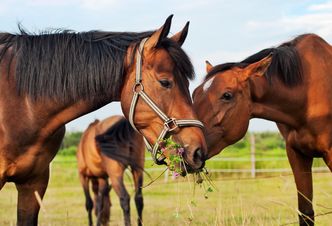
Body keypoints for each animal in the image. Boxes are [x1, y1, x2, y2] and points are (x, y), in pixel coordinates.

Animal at [192, 34, 332, 226]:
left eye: (227, 95)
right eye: (194, 94)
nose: (181, 148)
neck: (308, 95)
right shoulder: (297, 154)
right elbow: (305, 213)